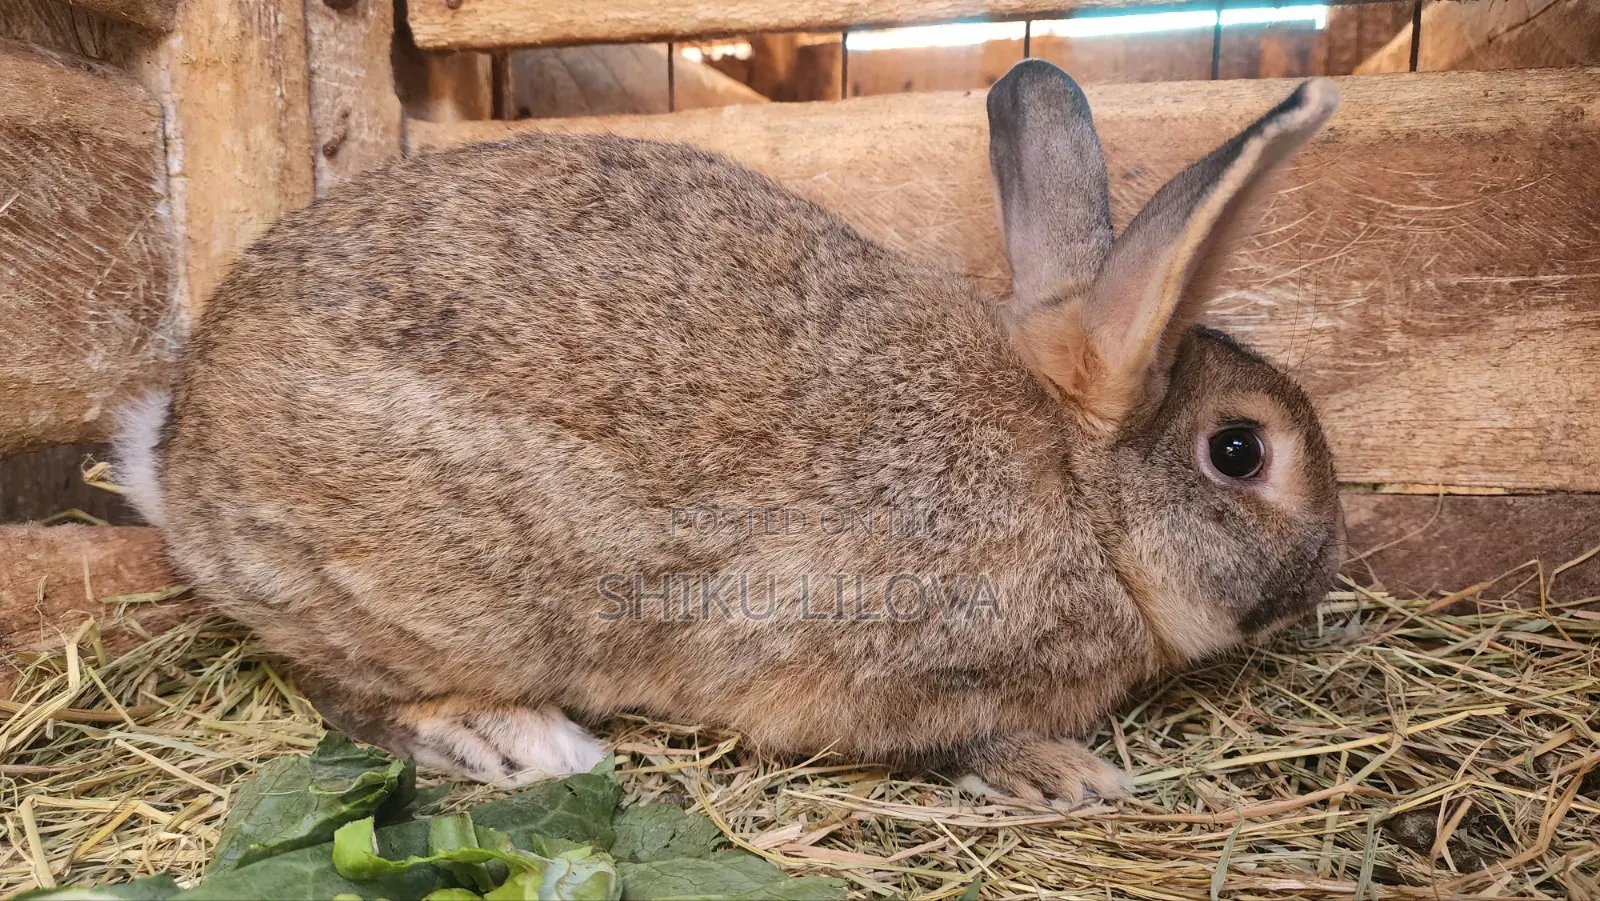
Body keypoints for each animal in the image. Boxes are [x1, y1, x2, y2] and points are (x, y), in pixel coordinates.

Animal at [114, 59, 1343, 802]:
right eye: (1240, 450)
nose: (1328, 572)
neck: (1081, 486)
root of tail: (179, 456)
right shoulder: (890, 663)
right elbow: (948, 736)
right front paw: (1063, 773)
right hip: (424, 593)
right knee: (349, 690)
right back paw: (517, 740)